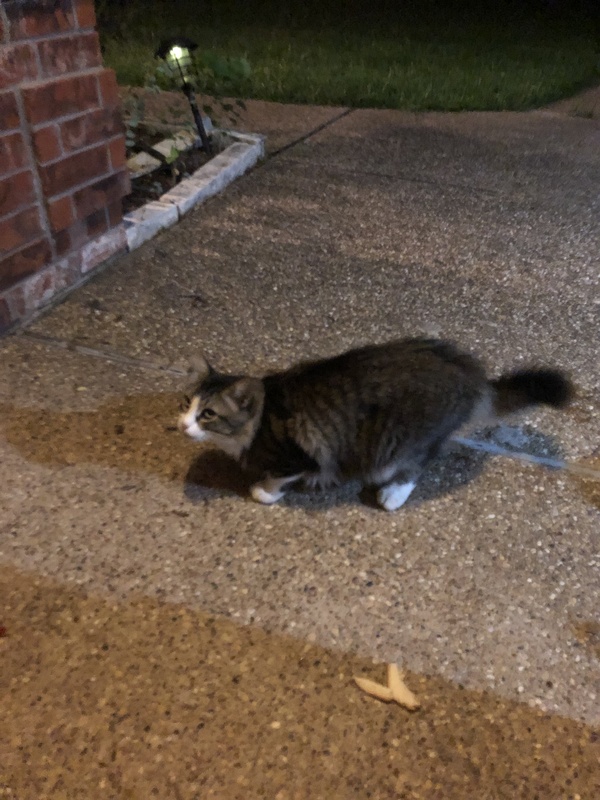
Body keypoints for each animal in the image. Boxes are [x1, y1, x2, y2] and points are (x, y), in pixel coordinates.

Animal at [178, 338, 573, 510]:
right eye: (186, 403)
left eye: (207, 414)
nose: (183, 425)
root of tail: (469, 372)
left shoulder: (300, 457)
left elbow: (278, 476)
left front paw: (265, 490)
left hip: (403, 440)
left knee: (416, 465)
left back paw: (393, 494)